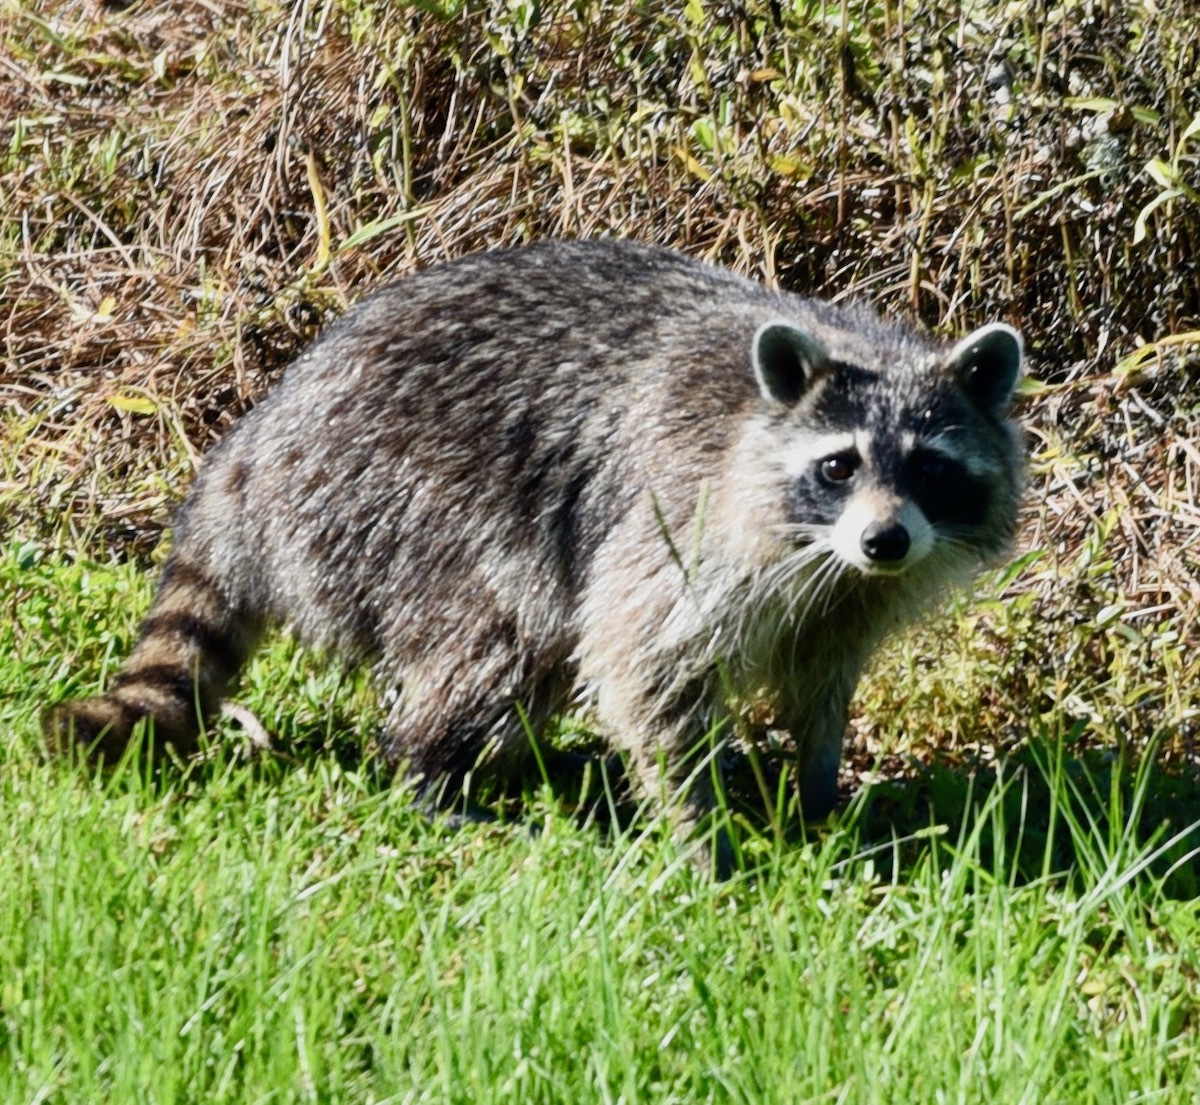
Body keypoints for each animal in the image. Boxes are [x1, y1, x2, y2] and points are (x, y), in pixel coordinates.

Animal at [46, 238, 1022, 868]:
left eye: (931, 468)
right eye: (838, 464)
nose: (886, 539)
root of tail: (256, 443)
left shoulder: (844, 594)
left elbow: (821, 676)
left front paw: (819, 793)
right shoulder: (683, 518)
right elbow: (638, 658)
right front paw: (701, 832)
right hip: (402, 498)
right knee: (497, 635)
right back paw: (429, 769)